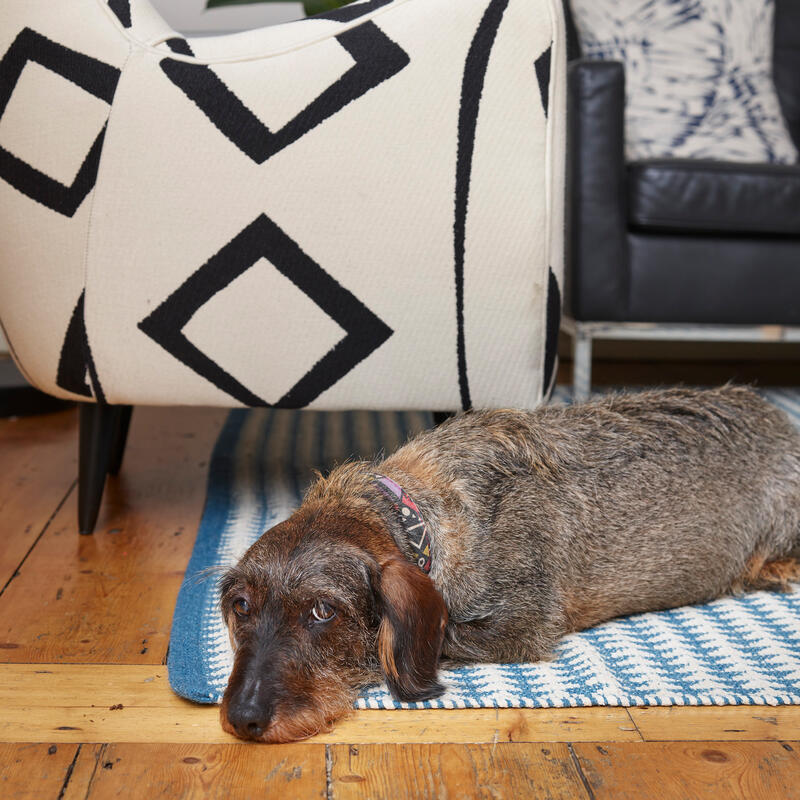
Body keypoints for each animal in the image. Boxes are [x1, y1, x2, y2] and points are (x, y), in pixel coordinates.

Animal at [219, 384, 800, 740]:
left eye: (323, 612)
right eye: (241, 605)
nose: (242, 719)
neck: (420, 516)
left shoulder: (523, 625)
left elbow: (442, 634)